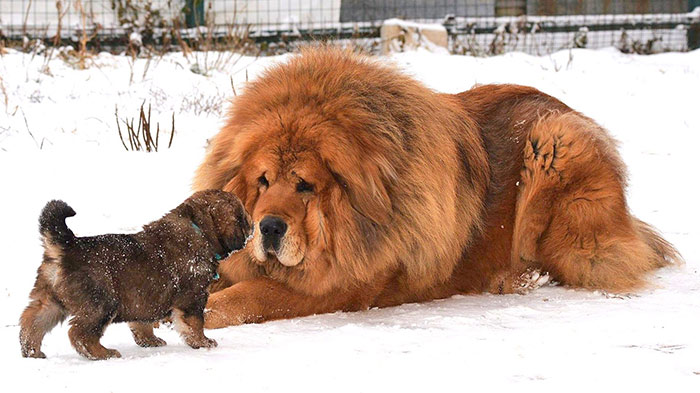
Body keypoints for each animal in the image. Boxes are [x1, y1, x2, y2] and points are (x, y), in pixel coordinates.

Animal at [19, 190, 252, 358]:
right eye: (242, 216)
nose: (252, 224)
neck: (199, 229)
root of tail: (66, 246)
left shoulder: (145, 299)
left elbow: (142, 323)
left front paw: (149, 341)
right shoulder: (193, 297)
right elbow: (195, 324)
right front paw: (203, 343)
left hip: (50, 300)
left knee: (32, 321)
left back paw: (32, 351)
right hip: (102, 303)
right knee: (80, 334)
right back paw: (103, 353)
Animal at [194, 46, 680, 328]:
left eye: (306, 185)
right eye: (263, 181)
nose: (269, 228)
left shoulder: (339, 286)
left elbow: (249, 295)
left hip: (556, 145)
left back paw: (516, 277)